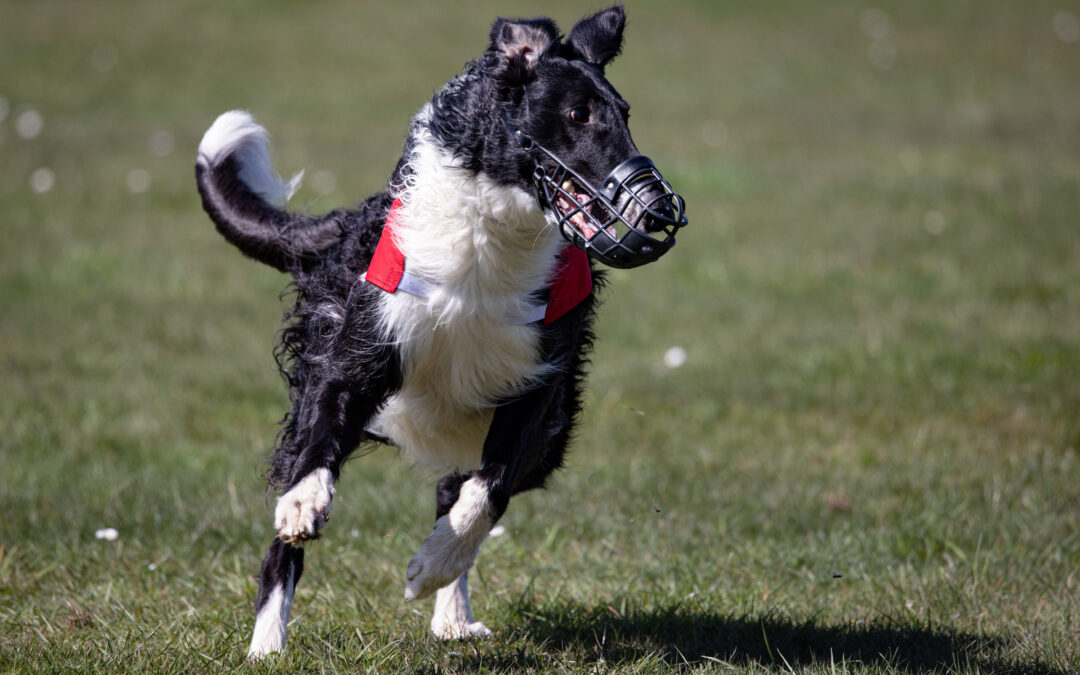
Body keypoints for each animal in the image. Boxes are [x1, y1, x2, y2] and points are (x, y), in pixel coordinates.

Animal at [193, 6, 682, 656]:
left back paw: (450, 614)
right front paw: (302, 504)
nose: (659, 212)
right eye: (579, 114)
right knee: (284, 543)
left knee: (460, 488)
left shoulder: (536, 388)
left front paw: (430, 567)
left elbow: (487, 493)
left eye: (626, 114)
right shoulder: (355, 356)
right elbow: (319, 444)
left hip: (539, 436)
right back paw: (267, 647)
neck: (486, 237)